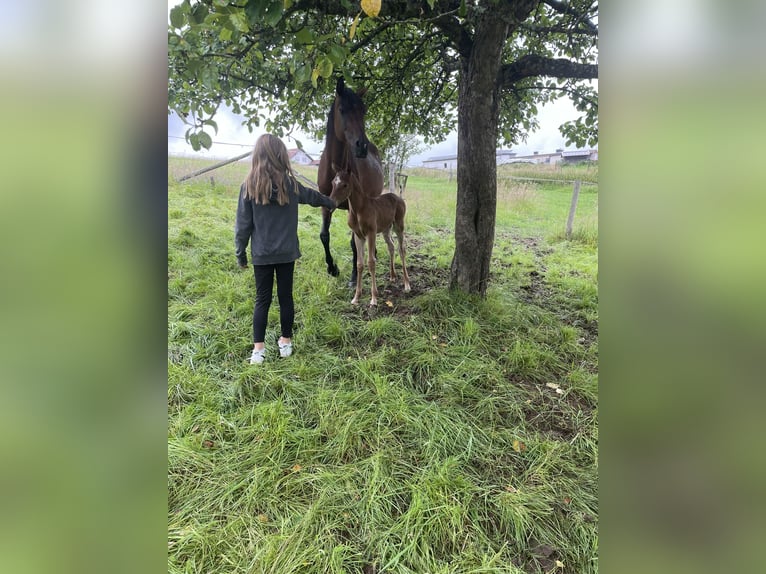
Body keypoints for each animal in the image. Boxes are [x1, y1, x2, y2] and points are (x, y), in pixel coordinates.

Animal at [316, 76, 382, 284]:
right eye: (342, 109)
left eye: (363, 110)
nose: (362, 146)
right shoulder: (325, 202)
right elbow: (324, 235)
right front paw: (332, 268)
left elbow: (354, 242)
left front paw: (354, 276)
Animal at [332, 169, 414, 308]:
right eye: (333, 182)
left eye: (345, 185)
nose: (331, 201)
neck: (359, 209)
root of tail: (399, 197)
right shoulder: (358, 236)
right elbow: (359, 263)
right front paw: (356, 298)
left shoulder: (371, 233)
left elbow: (371, 262)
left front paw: (374, 298)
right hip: (386, 229)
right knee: (391, 246)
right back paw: (392, 276)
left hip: (399, 225)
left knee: (401, 249)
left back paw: (407, 284)